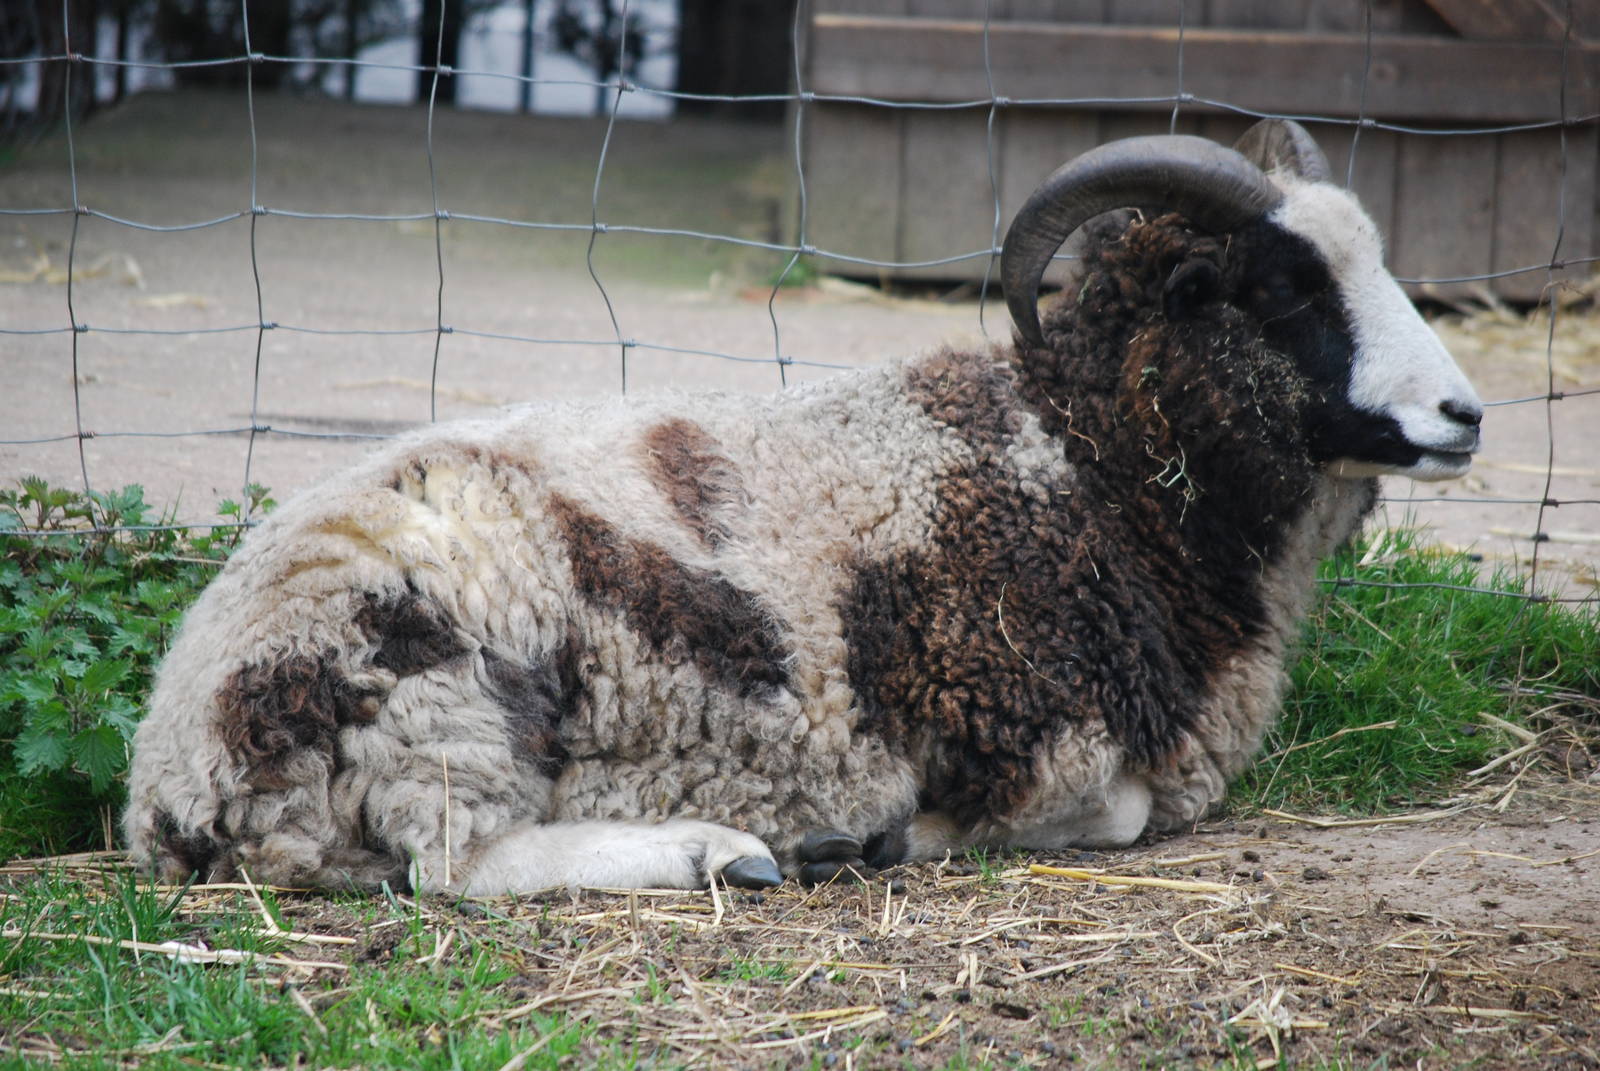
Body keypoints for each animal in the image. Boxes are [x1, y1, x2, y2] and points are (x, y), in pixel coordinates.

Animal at [123, 119, 1483, 894]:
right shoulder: (1018, 728)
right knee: (456, 866)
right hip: (438, 691)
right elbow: (1119, 811)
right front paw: (884, 840)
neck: (1086, 468)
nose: (1465, 415)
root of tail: (172, 779)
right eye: (1278, 287)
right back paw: (725, 852)